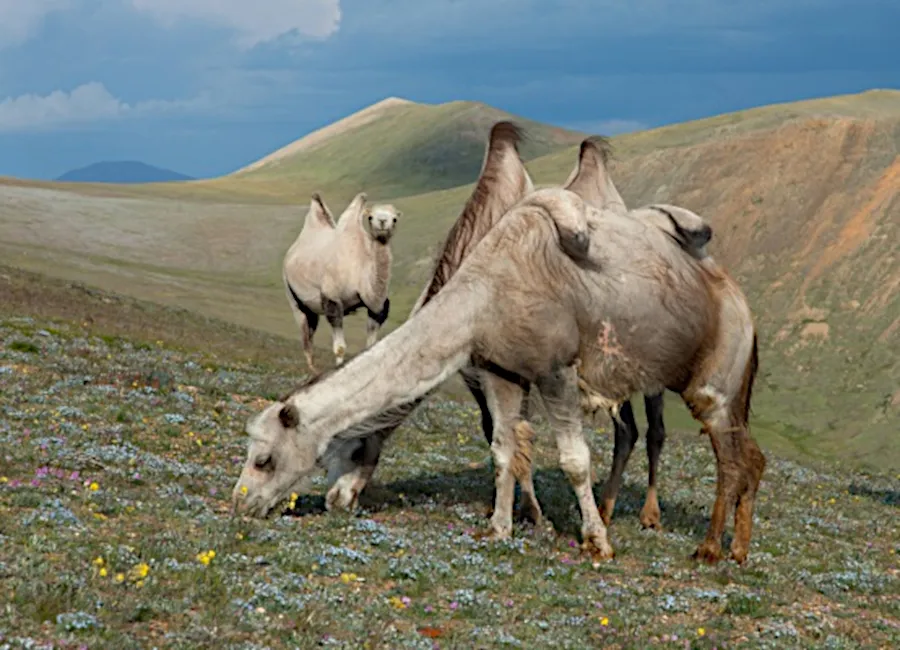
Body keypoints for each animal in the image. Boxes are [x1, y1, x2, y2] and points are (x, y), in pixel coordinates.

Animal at [284, 190, 400, 370]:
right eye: (370, 217)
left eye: (394, 218)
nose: (382, 222)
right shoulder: (332, 300)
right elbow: (339, 348)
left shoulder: (377, 308)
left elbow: (371, 343)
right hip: (292, 295)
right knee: (306, 339)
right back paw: (313, 372)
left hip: (311, 309)